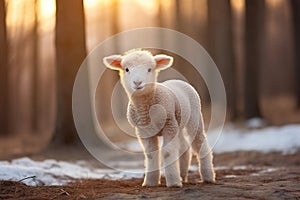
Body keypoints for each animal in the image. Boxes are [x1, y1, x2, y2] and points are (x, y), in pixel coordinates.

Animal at [103, 49, 216, 187]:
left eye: (149, 69)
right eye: (127, 69)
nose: (137, 83)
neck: (146, 110)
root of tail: (178, 80)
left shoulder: (168, 125)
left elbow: (167, 152)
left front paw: (173, 182)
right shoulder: (144, 131)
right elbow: (150, 154)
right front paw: (150, 182)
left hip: (194, 117)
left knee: (199, 142)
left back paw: (208, 176)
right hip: (178, 122)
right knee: (184, 146)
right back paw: (183, 175)